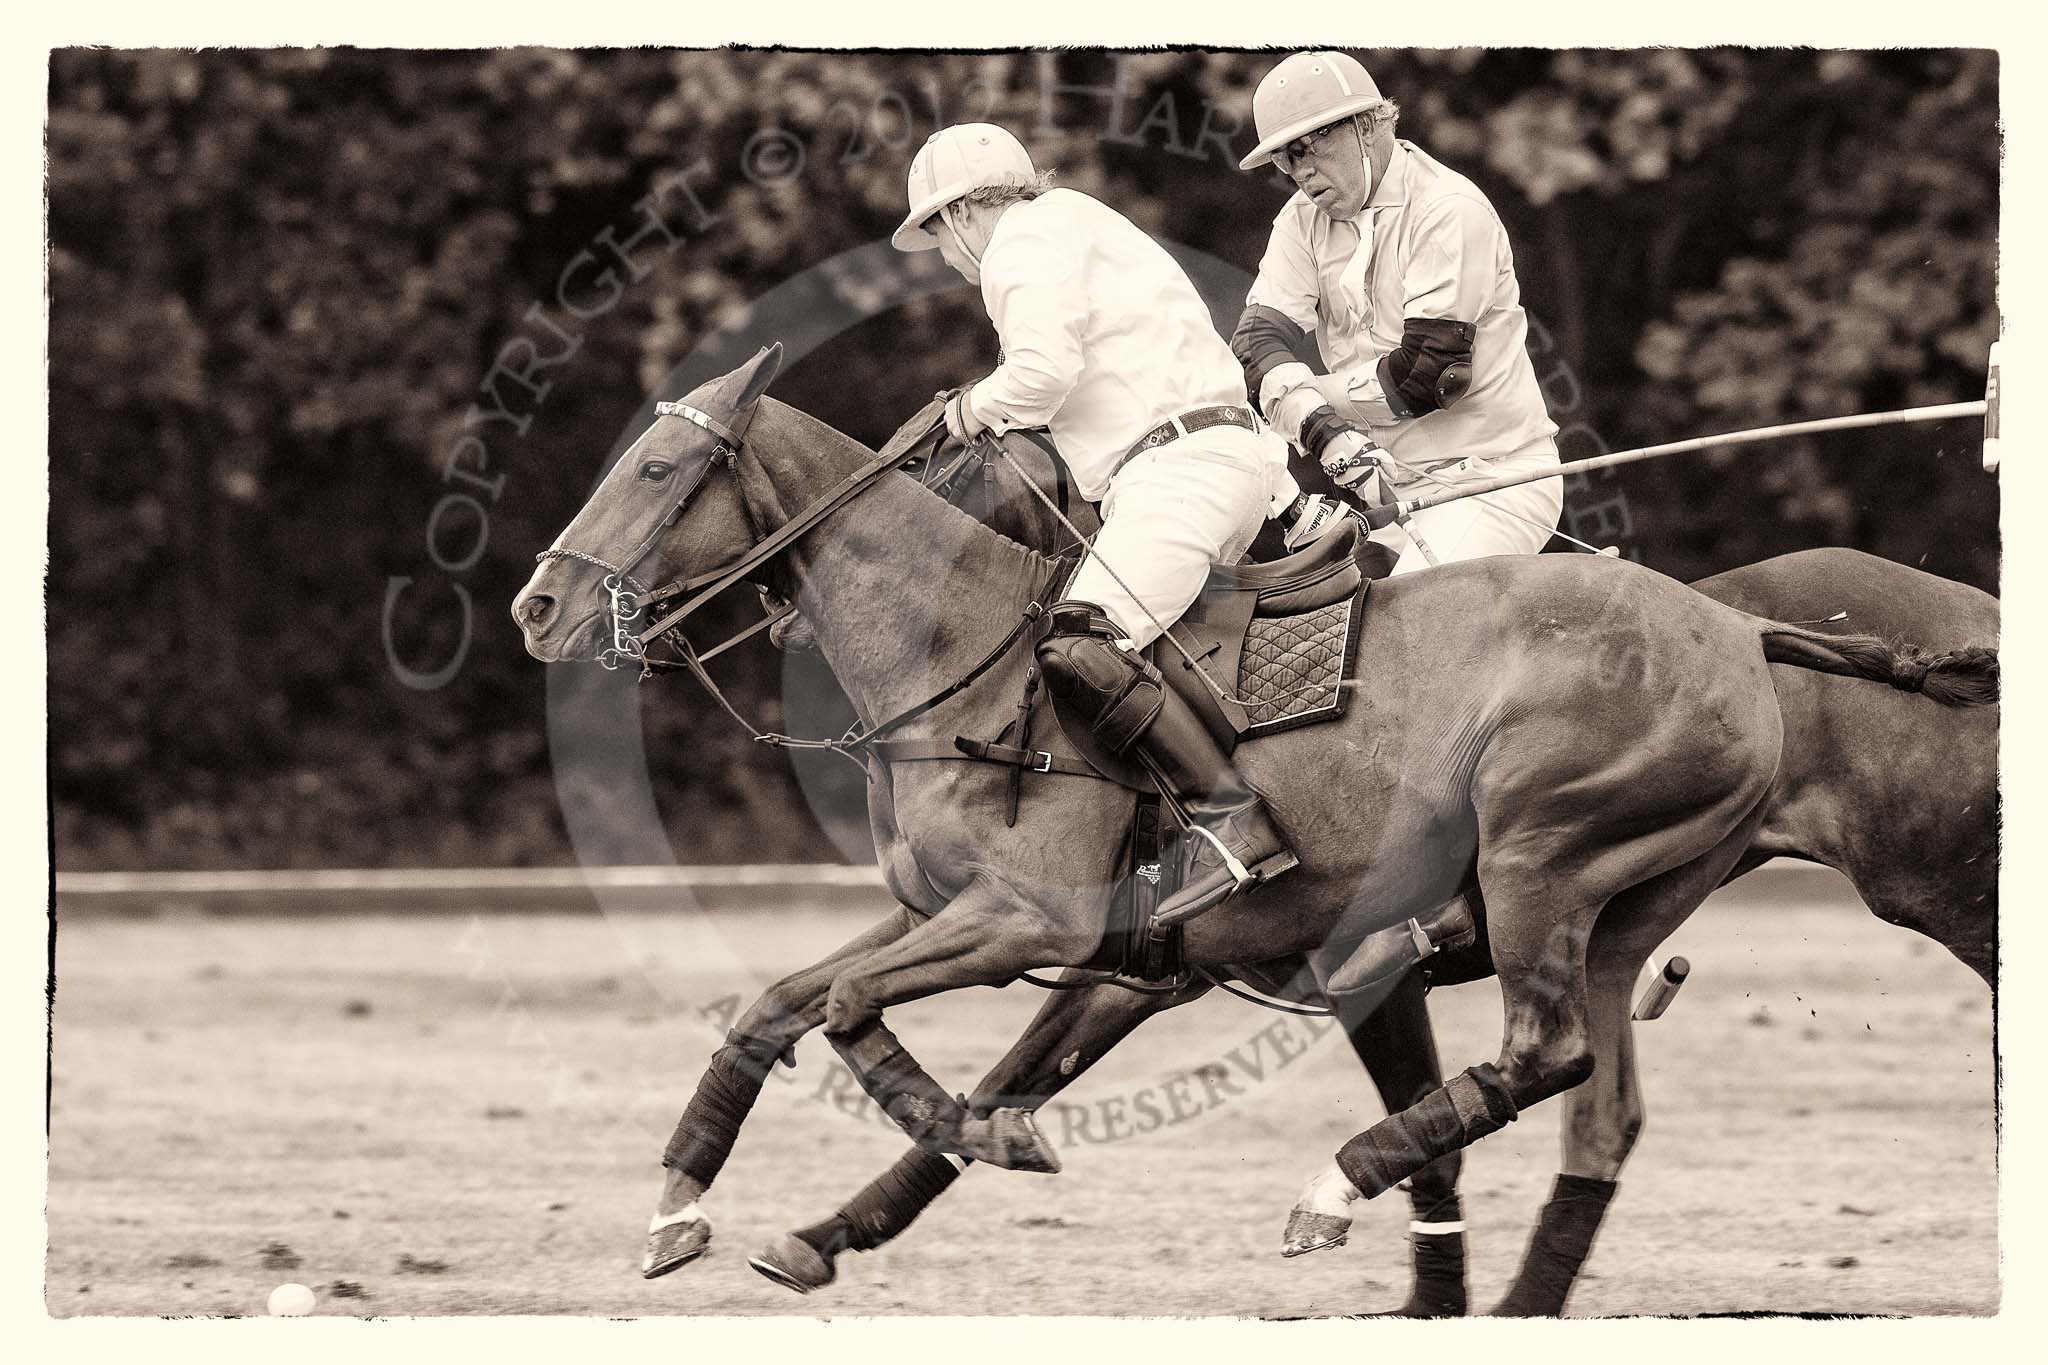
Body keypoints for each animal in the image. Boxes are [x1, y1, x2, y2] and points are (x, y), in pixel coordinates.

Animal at [516, 349, 1998, 1309]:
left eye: (657, 465)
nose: (538, 607)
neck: (970, 656)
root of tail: (1743, 632)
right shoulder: (1080, 948)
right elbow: (798, 1011)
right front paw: (718, 1214)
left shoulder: (1030, 920)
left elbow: (859, 1021)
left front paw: (950, 1143)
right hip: (1624, 908)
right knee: (1598, 1106)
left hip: (1562, 858)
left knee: (1547, 1056)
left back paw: (1334, 1190)